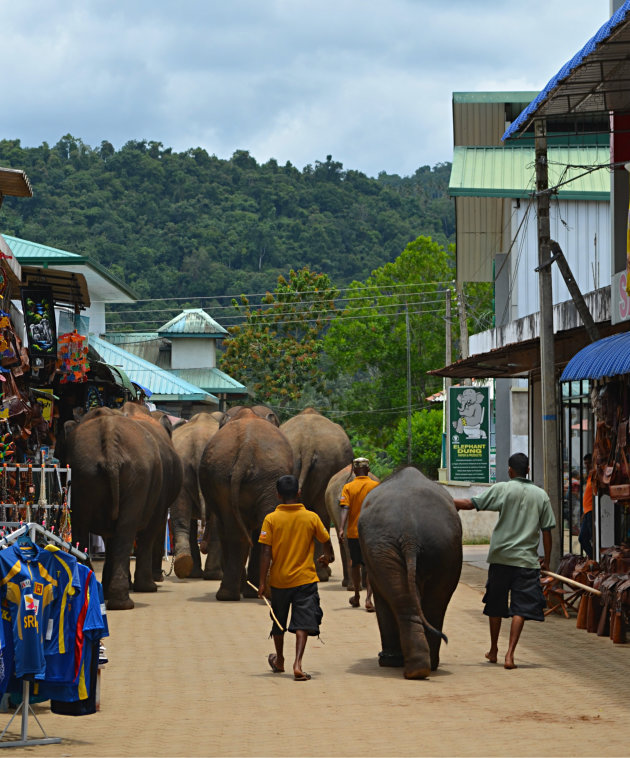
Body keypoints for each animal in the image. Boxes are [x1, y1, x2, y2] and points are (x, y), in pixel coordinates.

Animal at [64, 410, 165, 612]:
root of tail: (109, 437)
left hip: (88, 472)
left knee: (88, 526)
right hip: (117, 473)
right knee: (124, 530)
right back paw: (119, 601)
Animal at [170, 410, 225, 580]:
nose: (204, 547)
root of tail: (199, 442)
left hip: (182, 470)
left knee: (181, 519)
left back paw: (185, 567)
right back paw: (214, 574)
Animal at [199, 406, 296, 604]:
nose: (202, 547)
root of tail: (246, 448)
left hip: (222, 476)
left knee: (234, 532)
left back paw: (229, 595)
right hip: (266, 478)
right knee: (250, 530)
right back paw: (257, 593)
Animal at [360, 470, 464, 684]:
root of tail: (410, 536)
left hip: (386, 548)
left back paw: (402, 665)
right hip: (442, 546)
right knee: (435, 603)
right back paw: (424, 667)